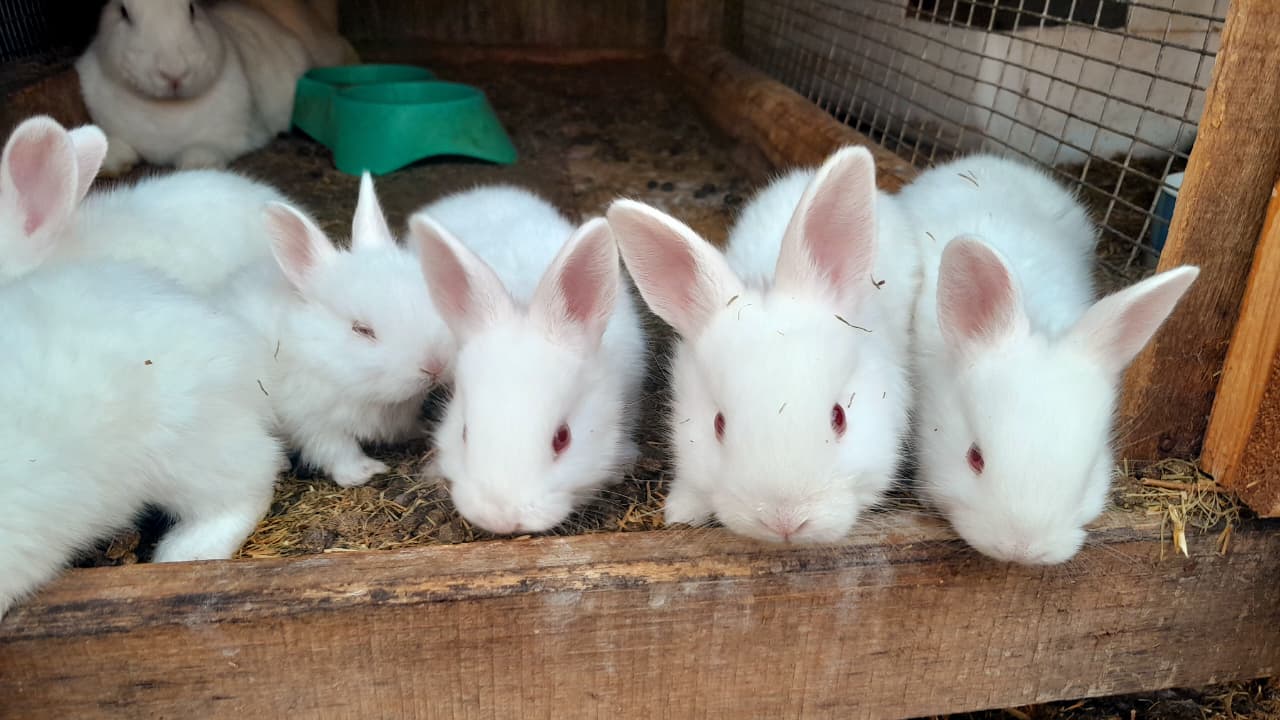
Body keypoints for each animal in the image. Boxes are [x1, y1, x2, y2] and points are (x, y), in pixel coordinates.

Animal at [76, 0, 351, 173]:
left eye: (191, 9)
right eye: (124, 12)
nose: (174, 72)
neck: (165, 108)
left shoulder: (231, 137)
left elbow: (199, 152)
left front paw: (197, 165)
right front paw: (110, 159)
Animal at [218, 173, 452, 488]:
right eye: (362, 330)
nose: (434, 366)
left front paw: (420, 430)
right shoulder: (314, 421)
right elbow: (336, 450)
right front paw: (364, 472)